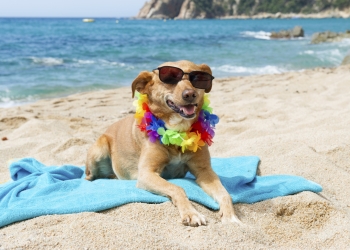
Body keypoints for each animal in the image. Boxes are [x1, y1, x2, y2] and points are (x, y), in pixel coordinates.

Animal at [86, 59, 242, 226]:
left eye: (198, 78)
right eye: (169, 78)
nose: (190, 94)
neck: (178, 132)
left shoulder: (204, 172)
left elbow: (225, 193)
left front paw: (231, 216)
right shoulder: (147, 174)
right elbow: (177, 188)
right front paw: (191, 213)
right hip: (99, 149)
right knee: (88, 176)